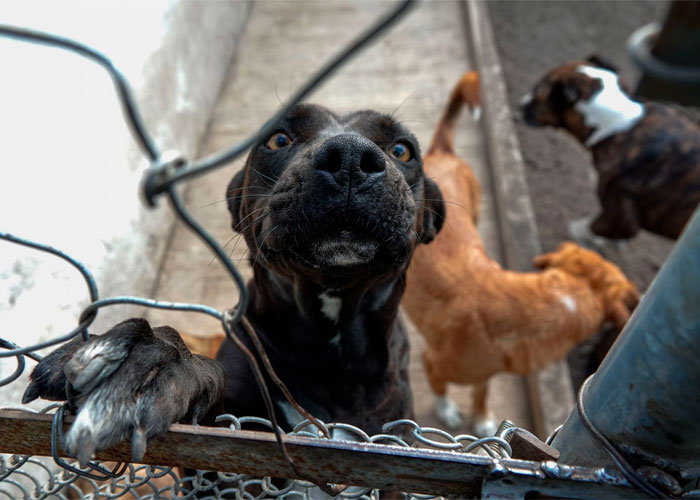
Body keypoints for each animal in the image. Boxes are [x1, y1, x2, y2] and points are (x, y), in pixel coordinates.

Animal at [27, 101, 446, 464]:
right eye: (278, 139)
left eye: (401, 150)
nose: (349, 158)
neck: (330, 337)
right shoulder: (224, 444)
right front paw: (154, 359)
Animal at [404, 72, 640, 436]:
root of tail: (441, 152)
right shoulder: (433, 363)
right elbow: (441, 389)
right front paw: (447, 411)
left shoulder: (484, 374)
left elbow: (482, 391)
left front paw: (482, 419)